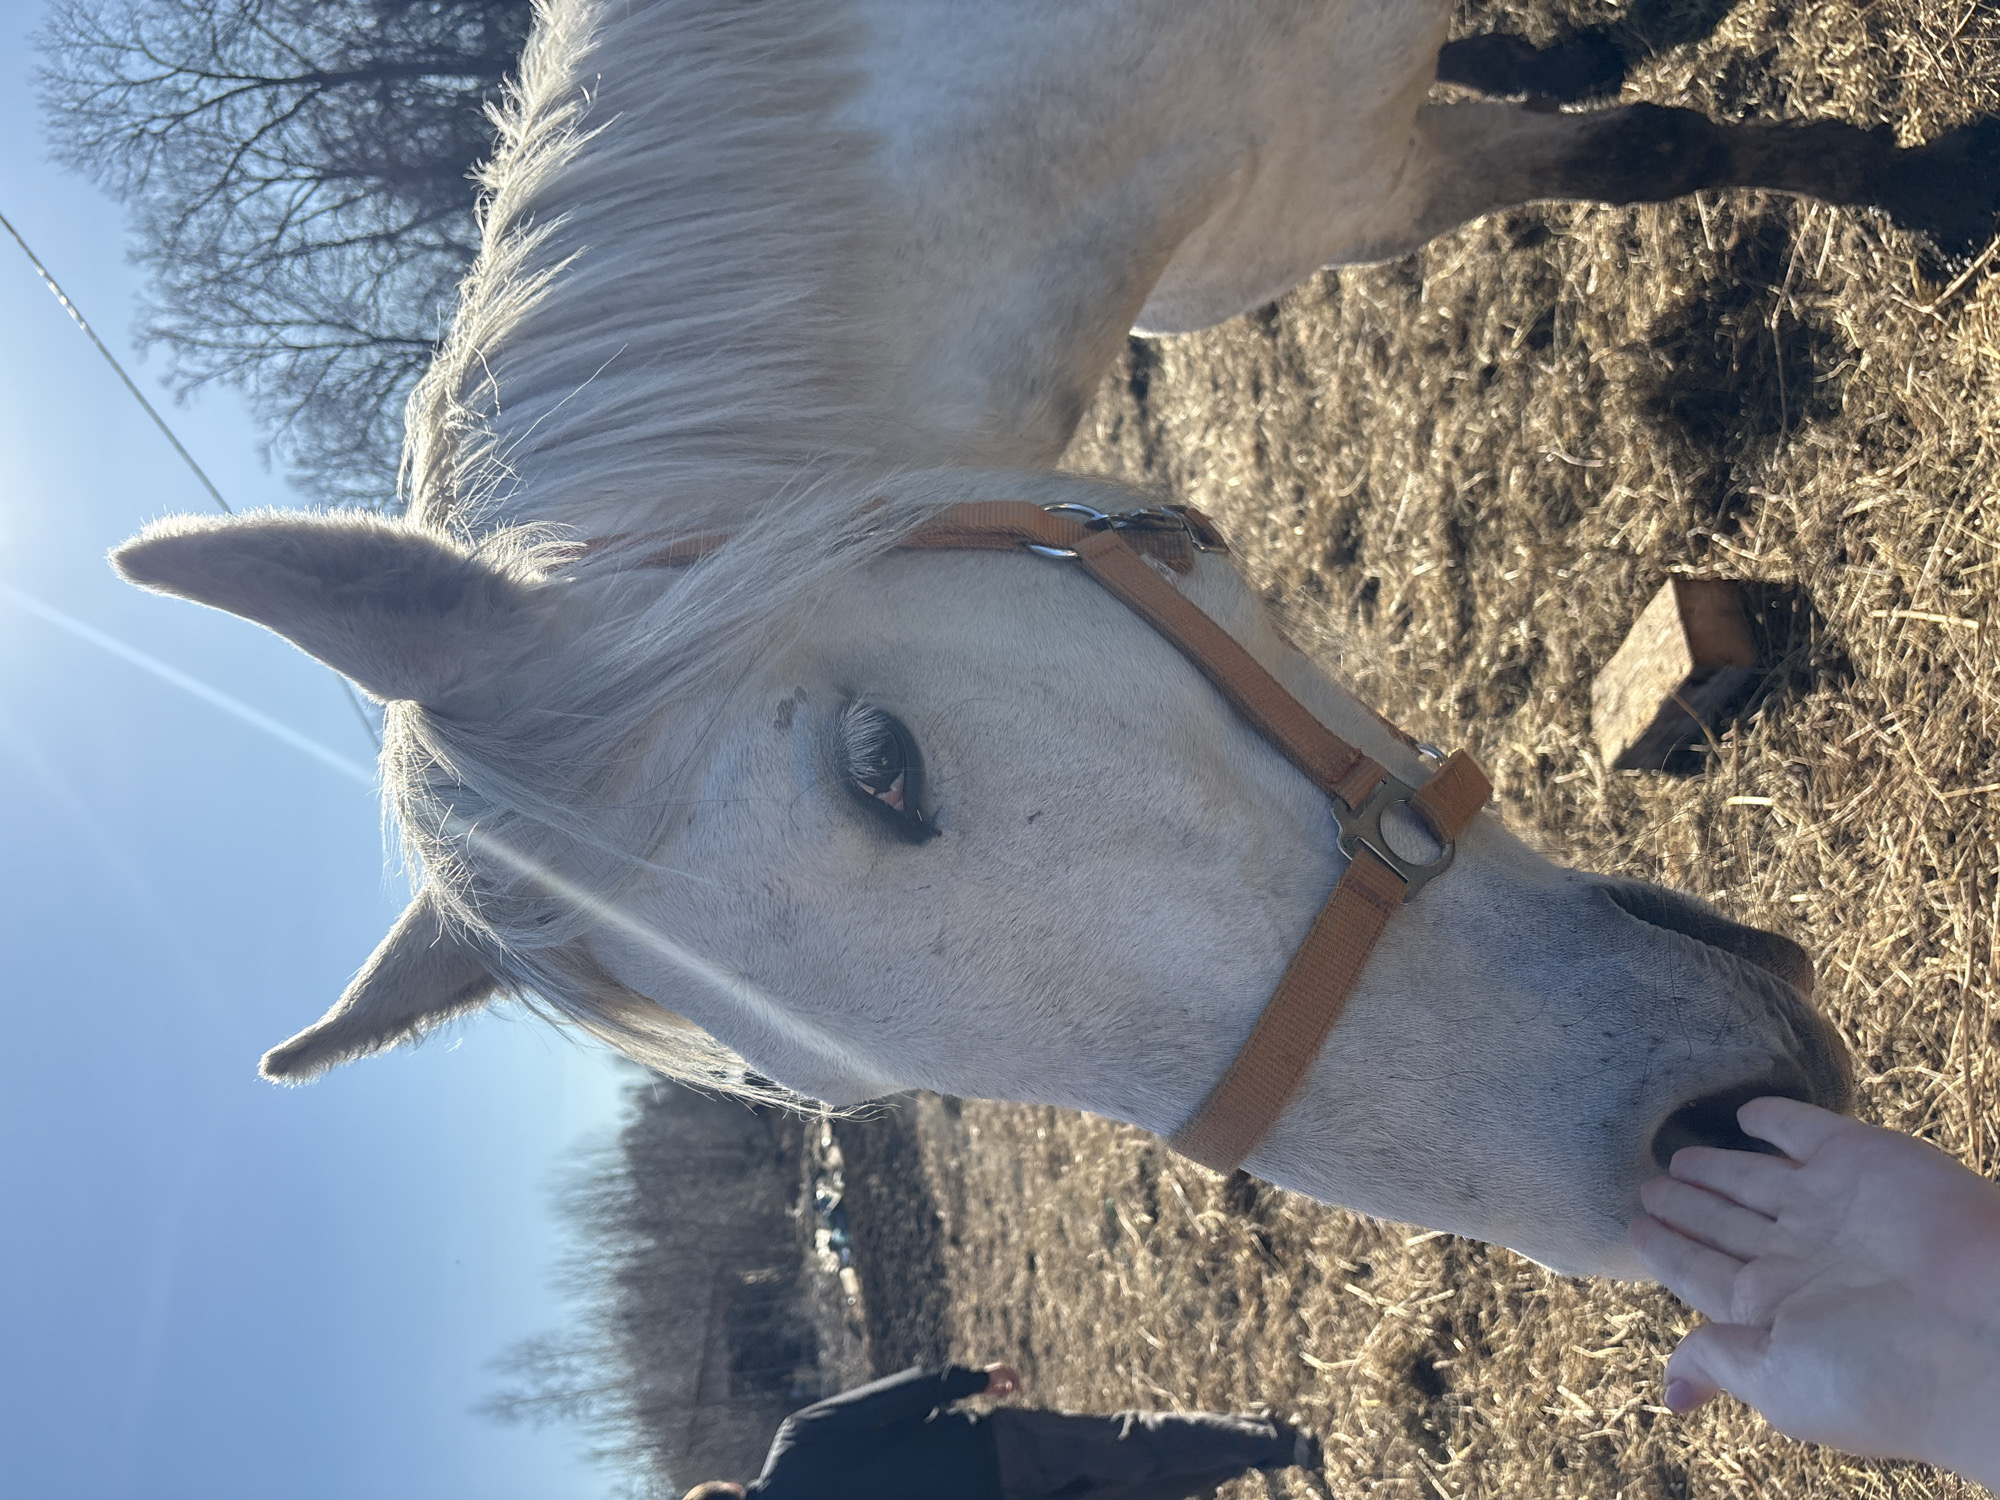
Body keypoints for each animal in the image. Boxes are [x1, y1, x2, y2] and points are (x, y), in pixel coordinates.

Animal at [113, 0, 1951, 1278]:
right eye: (827, 1086)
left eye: (886, 767)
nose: (1697, 1149)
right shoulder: (1314, 199)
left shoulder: (1347, 156)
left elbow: (1648, 150)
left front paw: (1916, 179)